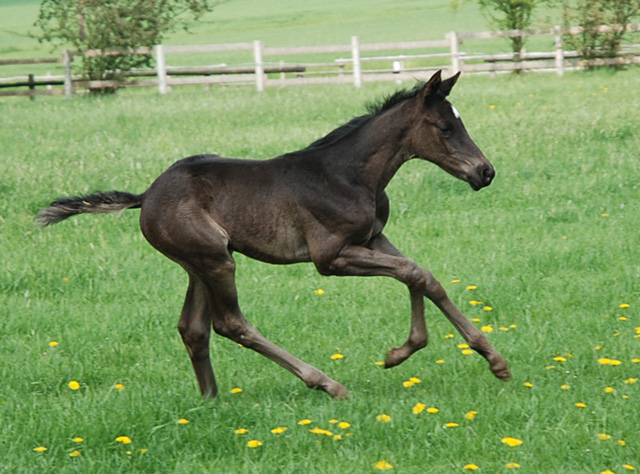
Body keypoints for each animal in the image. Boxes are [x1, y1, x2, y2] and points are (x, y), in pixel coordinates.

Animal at [38, 69, 510, 396]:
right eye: (445, 128)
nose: (485, 172)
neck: (351, 175)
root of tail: (146, 196)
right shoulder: (330, 257)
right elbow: (412, 272)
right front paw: (404, 353)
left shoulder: (372, 238)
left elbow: (421, 274)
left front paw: (491, 360)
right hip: (215, 260)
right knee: (231, 324)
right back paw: (326, 383)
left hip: (199, 263)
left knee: (193, 327)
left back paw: (210, 400)